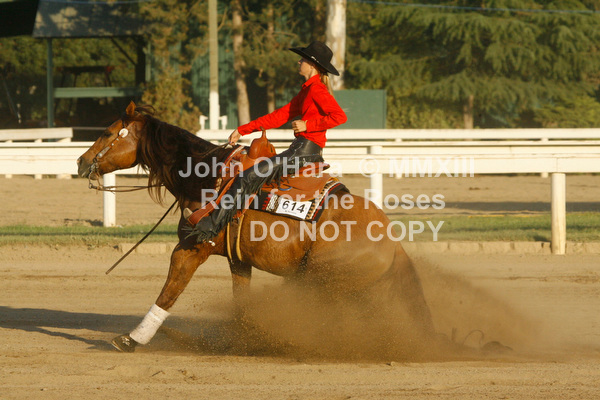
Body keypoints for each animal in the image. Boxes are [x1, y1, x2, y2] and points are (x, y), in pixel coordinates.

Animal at [77, 101, 436, 354]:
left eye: (107, 132)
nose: (81, 161)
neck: (208, 176)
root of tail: (392, 241)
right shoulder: (239, 260)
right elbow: (240, 301)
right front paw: (242, 340)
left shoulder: (191, 249)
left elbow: (168, 293)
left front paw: (131, 339)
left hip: (324, 281)